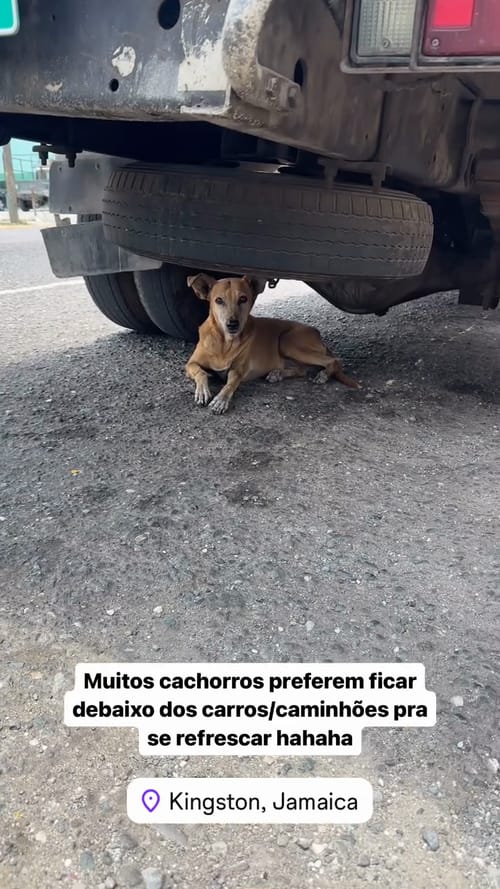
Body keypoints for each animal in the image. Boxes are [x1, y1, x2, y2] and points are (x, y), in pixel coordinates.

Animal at [186, 274, 358, 412]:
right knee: (302, 370)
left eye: (243, 299)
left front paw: (221, 400)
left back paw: (322, 375)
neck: (224, 343)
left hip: (287, 342)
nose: (232, 324)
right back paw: (278, 373)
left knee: (332, 361)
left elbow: (230, 384)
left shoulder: (238, 371)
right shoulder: (190, 364)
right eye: (219, 300)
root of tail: (317, 333)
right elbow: (201, 372)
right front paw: (202, 391)